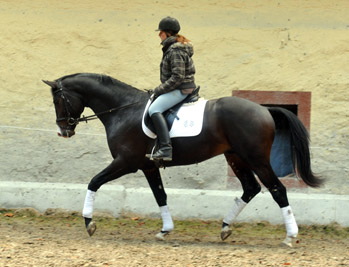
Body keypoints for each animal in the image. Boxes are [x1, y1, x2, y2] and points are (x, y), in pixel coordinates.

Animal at [43, 73, 320, 247]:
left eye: (58, 100)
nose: (62, 131)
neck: (123, 110)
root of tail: (264, 109)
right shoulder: (148, 166)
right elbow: (160, 196)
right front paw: (165, 230)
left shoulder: (126, 162)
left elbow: (94, 182)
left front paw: (89, 222)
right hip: (236, 157)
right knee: (250, 188)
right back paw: (225, 227)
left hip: (256, 159)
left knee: (277, 189)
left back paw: (290, 236)